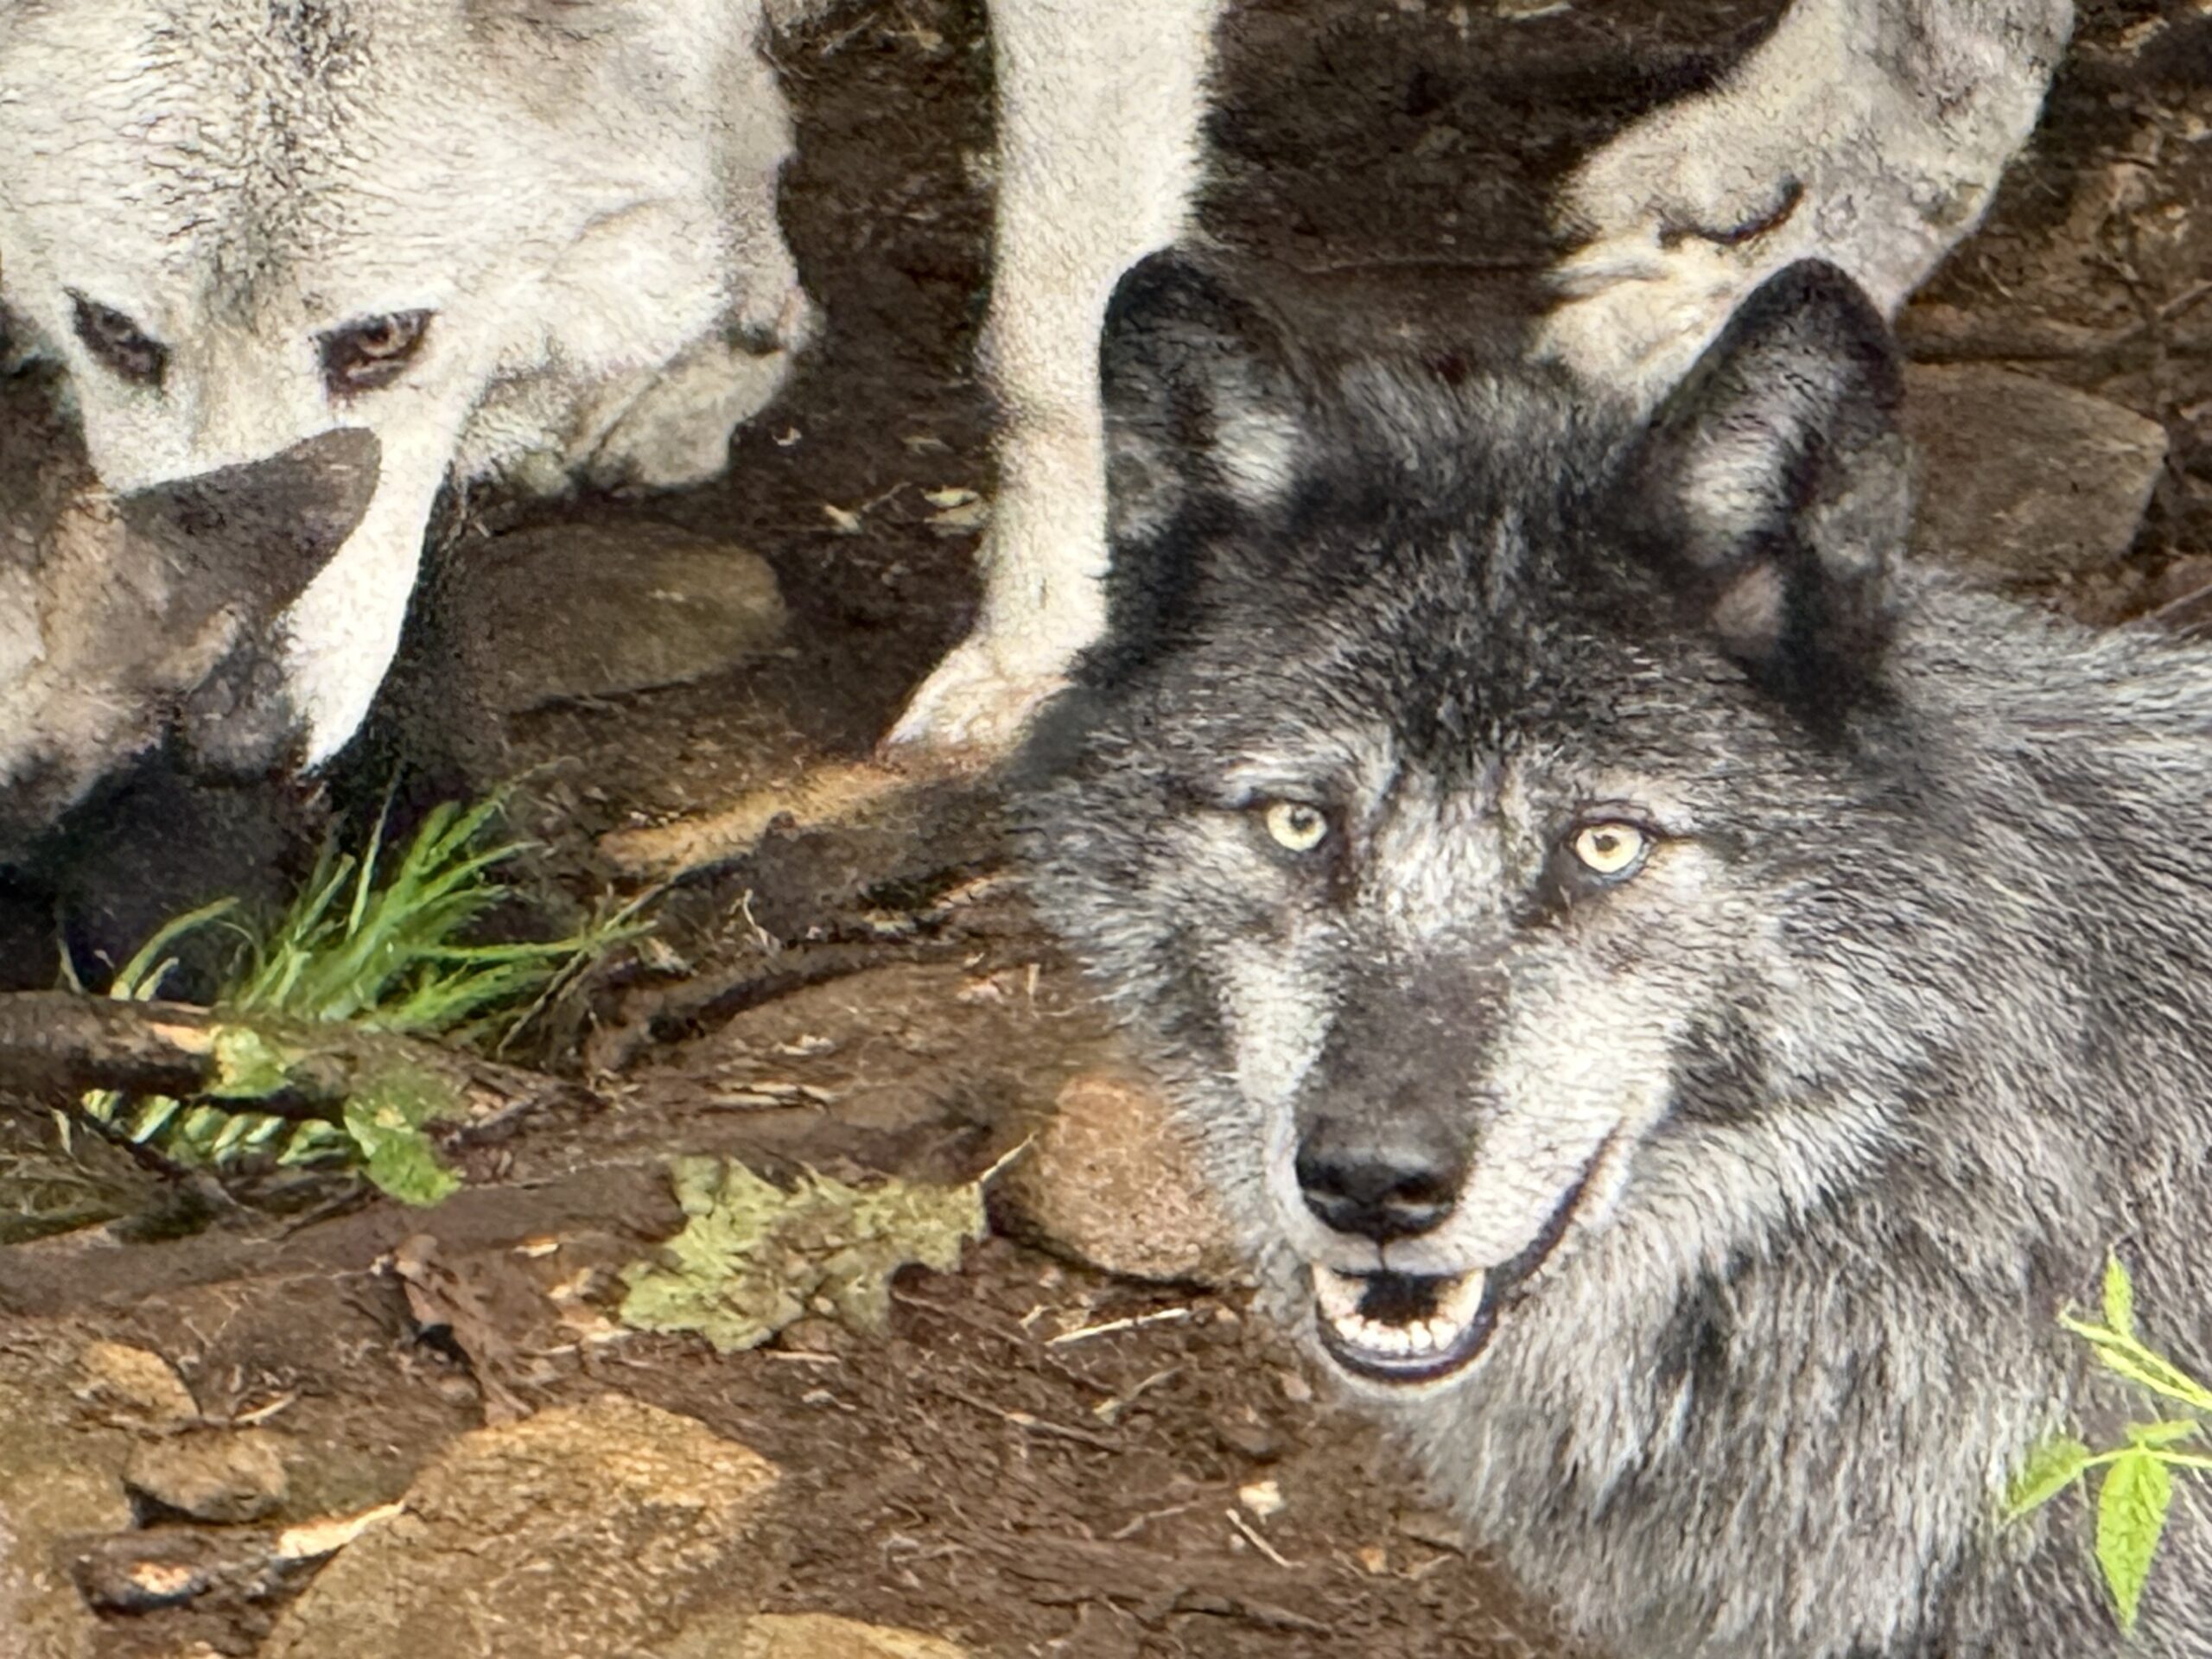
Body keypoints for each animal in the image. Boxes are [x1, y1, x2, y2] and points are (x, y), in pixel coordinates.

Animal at [0, 0, 2071, 794]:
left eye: (379, 343)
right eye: (113, 334)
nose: (211, 744)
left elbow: (1051, 320)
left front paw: (1045, 645)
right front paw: (721, 330)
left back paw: (1767, 263)